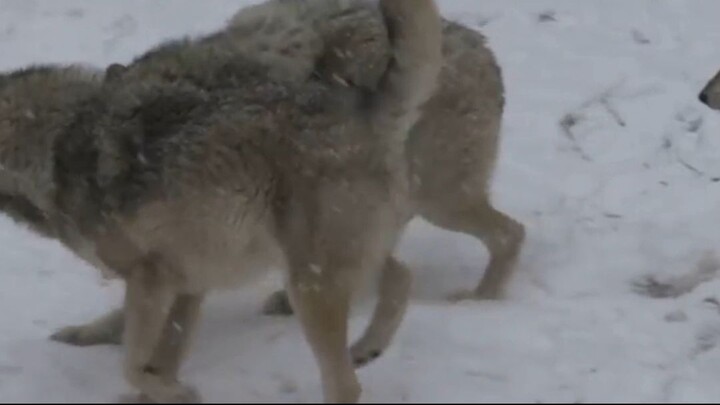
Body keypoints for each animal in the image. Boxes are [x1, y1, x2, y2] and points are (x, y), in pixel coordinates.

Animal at [0, 0, 442, 402]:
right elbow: (153, 353)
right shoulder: (186, 283)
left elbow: (134, 365)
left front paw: (177, 391)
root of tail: (366, 106)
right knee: (400, 276)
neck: (55, 147)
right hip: (325, 259)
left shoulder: (155, 276)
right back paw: (368, 347)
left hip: (310, 284)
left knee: (347, 384)